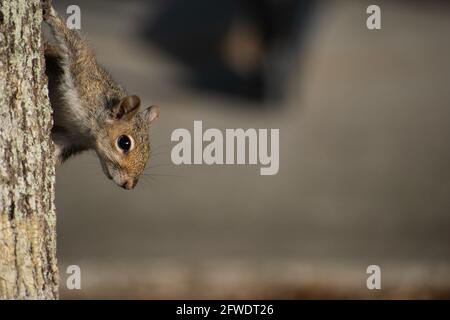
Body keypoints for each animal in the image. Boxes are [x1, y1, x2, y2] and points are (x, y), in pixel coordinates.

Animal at [40, 3, 160, 190]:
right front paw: (51, 14)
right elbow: (75, 44)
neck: (86, 128)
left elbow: (56, 148)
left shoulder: (70, 138)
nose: (129, 185)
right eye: (124, 143)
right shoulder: (84, 76)